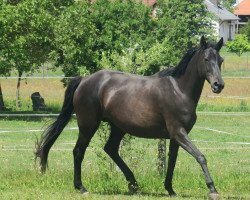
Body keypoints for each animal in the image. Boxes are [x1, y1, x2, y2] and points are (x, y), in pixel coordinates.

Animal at [35, 36, 225, 199]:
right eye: (206, 59)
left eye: (221, 60)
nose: (218, 85)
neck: (178, 90)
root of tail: (84, 80)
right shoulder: (178, 133)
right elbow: (200, 156)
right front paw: (212, 189)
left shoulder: (175, 136)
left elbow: (172, 161)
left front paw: (170, 189)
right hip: (88, 125)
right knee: (78, 151)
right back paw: (81, 187)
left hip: (117, 127)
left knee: (110, 149)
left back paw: (133, 184)